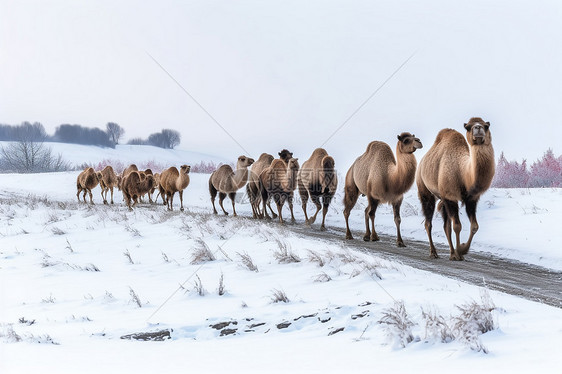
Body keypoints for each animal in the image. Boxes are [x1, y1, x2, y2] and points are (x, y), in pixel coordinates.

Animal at [414, 117, 492, 260]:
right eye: (468, 127)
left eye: (486, 125)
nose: (478, 128)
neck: (463, 173)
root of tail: (421, 162)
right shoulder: (451, 197)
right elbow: (457, 226)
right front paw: (459, 251)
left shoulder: (471, 199)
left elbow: (474, 226)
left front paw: (462, 250)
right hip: (424, 189)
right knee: (429, 222)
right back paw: (434, 252)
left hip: (443, 198)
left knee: (446, 225)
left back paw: (451, 253)